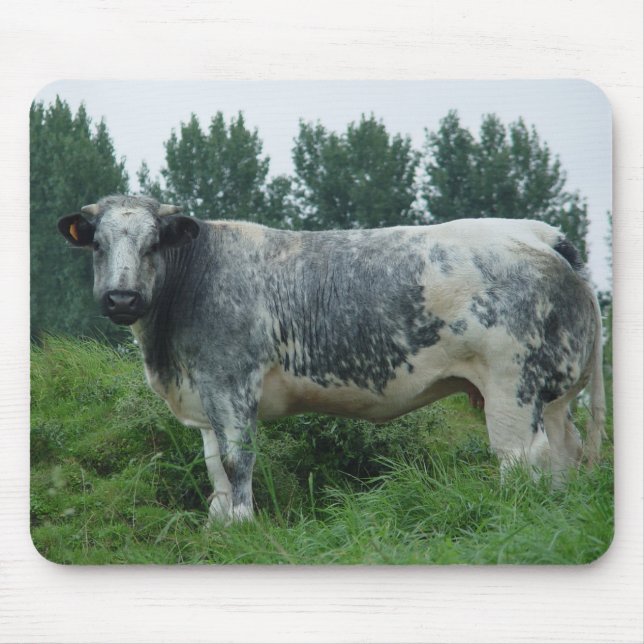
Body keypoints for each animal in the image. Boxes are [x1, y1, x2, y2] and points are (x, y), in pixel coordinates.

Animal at [58, 194, 606, 524]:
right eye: (98, 244)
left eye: (154, 244)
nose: (122, 298)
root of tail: (538, 233)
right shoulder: (205, 395)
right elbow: (214, 465)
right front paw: (218, 523)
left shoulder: (231, 382)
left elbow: (237, 460)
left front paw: (241, 525)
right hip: (554, 395)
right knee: (565, 452)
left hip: (513, 384)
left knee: (523, 457)